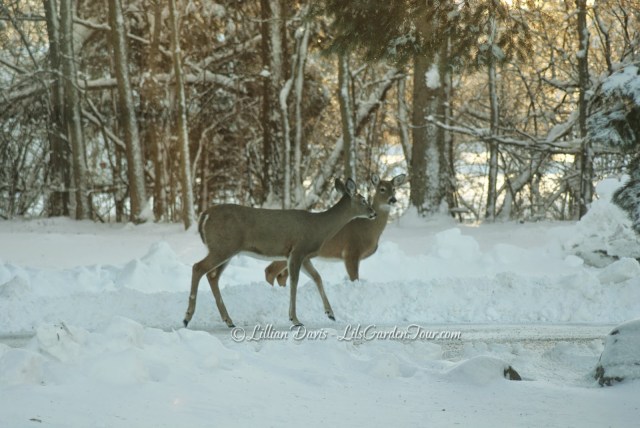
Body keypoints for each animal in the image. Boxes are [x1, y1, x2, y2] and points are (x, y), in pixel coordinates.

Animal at [183, 178, 376, 328]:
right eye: (364, 200)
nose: (373, 213)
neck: (318, 227)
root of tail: (205, 215)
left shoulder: (304, 256)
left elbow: (317, 277)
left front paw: (330, 313)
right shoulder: (298, 250)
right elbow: (294, 282)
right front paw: (295, 319)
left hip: (226, 250)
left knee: (212, 276)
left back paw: (228, 320)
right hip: (223, 246)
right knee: (198, 267)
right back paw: (187, 318)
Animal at [264, 173, 406, 287]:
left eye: (394, 189)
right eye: (382, 189)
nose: (393, 199)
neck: (369, 229)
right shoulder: (351, 252)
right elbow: (354, 278)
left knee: (281, 275)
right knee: (270, 271)